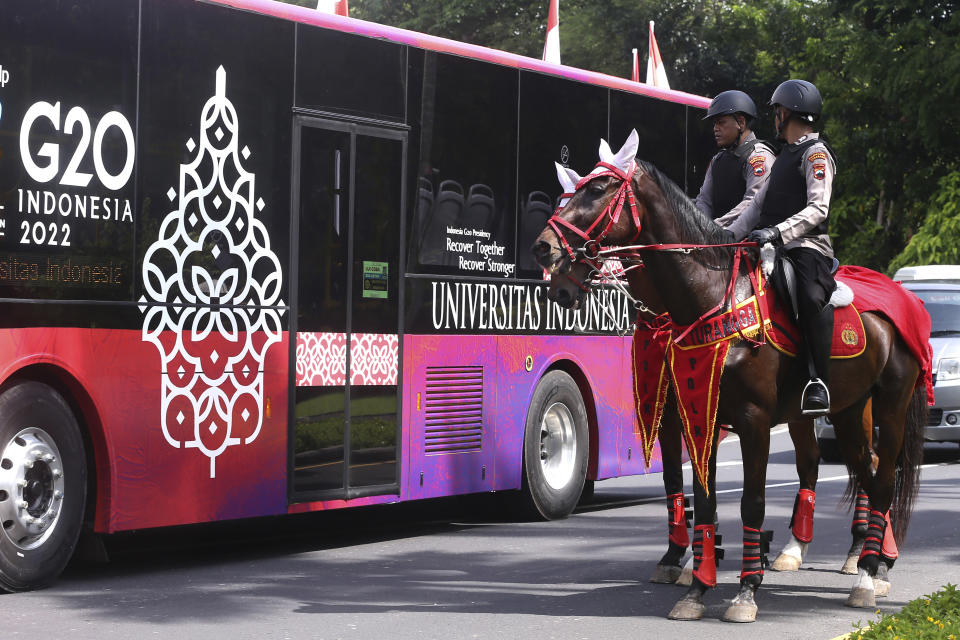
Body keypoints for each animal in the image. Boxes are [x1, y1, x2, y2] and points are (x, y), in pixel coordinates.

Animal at [536, 134, 928, 620]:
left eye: (596, 189)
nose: (545, 250)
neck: (708, 302)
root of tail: (900, 294)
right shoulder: (693, 413)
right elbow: (697, 496)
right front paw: (694, 586)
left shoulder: (753, 421)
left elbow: (751, 502)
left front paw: (745, 591)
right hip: (848, 410)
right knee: (864, 472)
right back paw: (860, 560)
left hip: (889, 406)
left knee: (883, 480)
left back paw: (869, 573)